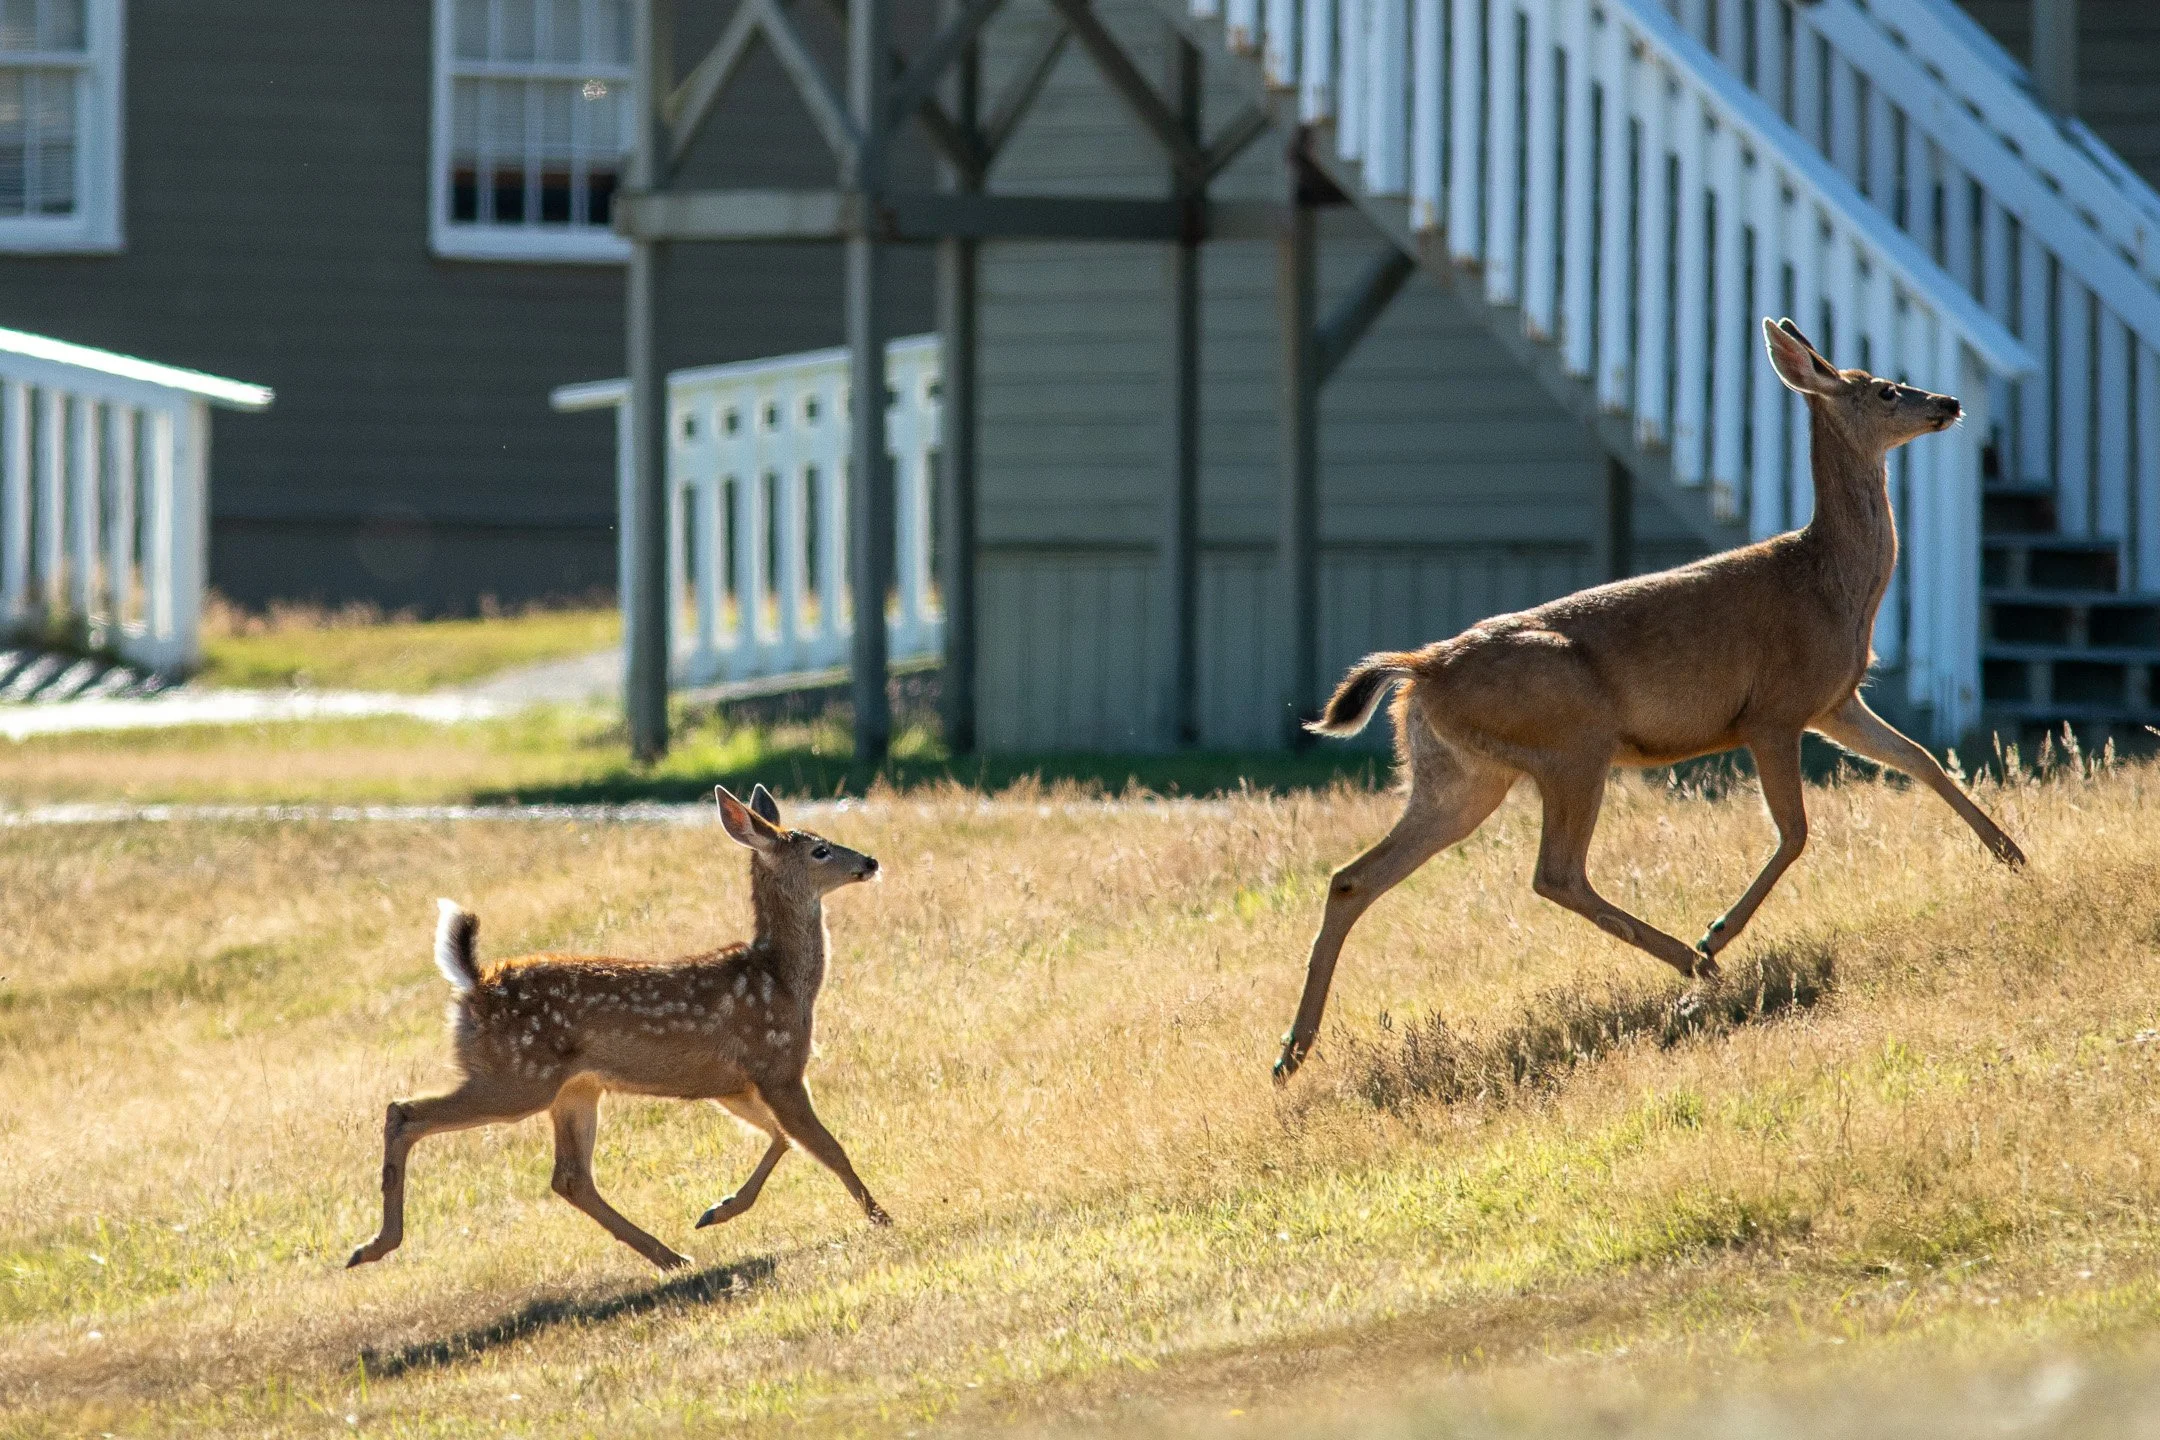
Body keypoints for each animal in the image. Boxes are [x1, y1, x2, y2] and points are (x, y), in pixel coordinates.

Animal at [346, 784, 891, 1273]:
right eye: (820, 849)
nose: (869, 861)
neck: (782, 981)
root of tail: (475, 982)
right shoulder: (777, 1064)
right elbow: (826, 1146)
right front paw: (882, 1217)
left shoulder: (730, 1083)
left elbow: (783, 1139)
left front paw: (718, 1209)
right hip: (517, 1078)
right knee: (403, 1112)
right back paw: (374, 1245)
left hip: (574, 1089)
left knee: (570, 1178)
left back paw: (670, 1255)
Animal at [1271, 317, 2026, 1085]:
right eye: (1886, 390)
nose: (1949, 403)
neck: (1829, 584)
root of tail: (1422, 668)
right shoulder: (1773, 710)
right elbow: (1796, 831)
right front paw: (1719, 930)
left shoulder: (1833, 702)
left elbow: (1921, 760)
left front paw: (2011, 855)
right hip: (1573, 742)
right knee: (1556, 874)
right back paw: (1697, 961)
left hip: (1463, 775)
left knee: (1353, 878)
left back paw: (1291, 1053)